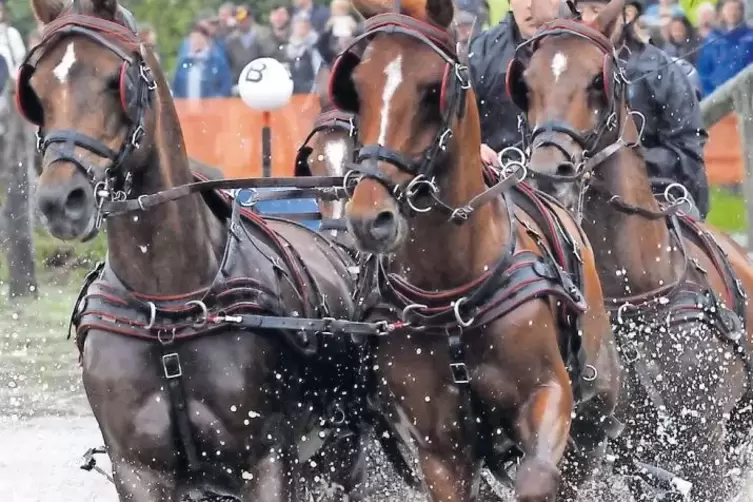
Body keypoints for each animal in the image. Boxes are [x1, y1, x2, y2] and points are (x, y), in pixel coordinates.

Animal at [19, 0, 382, 500]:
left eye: (116, 80)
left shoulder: (267, 462)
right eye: (35, 88)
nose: (60, 200)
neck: (168, 304)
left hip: (341, 458)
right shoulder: (137, 470)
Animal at [332, 0, 620, 502]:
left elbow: (537, 479)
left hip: (594, 410)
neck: (456, 295)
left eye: (433, 90)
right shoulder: (440, 451)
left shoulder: (549, 394)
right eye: (358, 89)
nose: (369, 219)